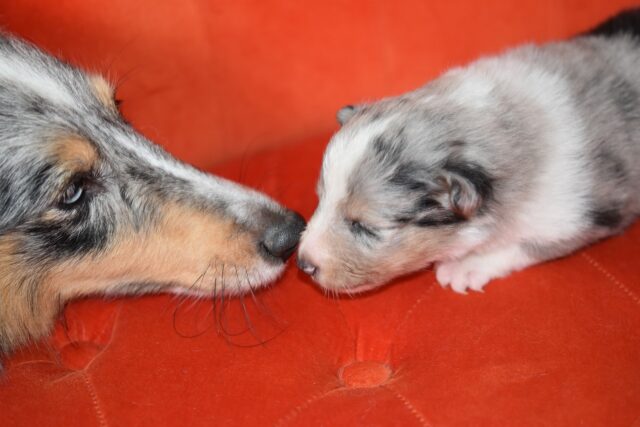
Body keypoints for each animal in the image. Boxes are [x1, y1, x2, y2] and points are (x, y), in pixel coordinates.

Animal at [298, 10, 640, 298]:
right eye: (320, 198)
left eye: (365, 227)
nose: (302, 263)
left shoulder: (578, 216)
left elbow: (523, 244)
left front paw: (466, 266)